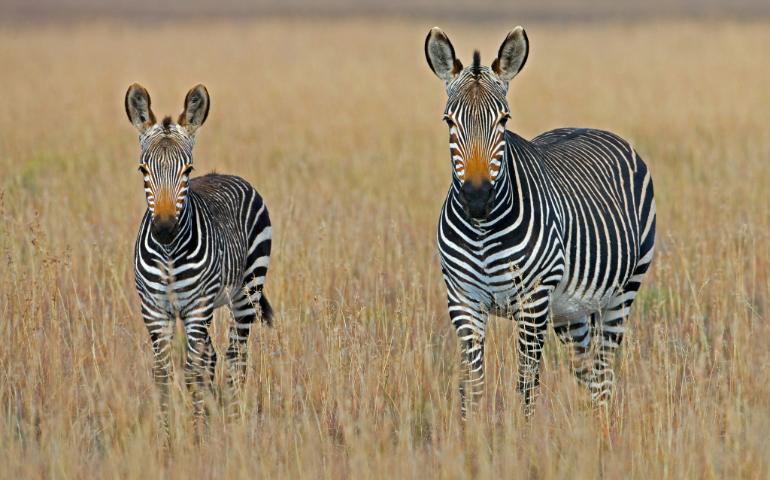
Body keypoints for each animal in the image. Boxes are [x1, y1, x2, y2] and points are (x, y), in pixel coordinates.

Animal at [124, 83, 273, 431]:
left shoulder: (196, 309)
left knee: (235, 357)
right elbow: (163, 374)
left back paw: (232, 421)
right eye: (143, 170)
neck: (168, 254)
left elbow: (192, 372)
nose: (165, 229)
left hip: (247, 293)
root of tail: (225, 174)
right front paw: (167, 435)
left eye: (187, 170)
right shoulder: (154, 311)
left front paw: (195, 435)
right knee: (214, 357)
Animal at [424, 27, 656, 418]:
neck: (482, 232)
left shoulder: (533, 302)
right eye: (449, 122)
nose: (476, 198)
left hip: (622, 292)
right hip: (569, 310)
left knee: (604, 372)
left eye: (504, 120)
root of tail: (590, 127)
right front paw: (468, 433)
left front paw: (523, 434)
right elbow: (471, 386)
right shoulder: (463, 300)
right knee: (586, 371)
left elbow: (526, 385)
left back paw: (603, 427)